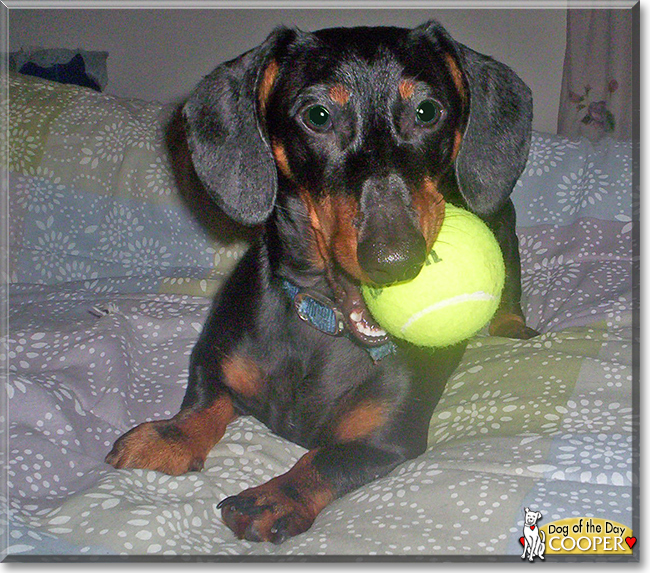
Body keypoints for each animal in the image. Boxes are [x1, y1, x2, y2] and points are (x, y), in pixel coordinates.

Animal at [106, 20, 536, 544]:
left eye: (427, 111)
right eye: (318, 115)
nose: (396, 259)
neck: (321, 318)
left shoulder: (387, 440)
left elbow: (324, 459)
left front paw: (274, 496)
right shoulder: (215, 361)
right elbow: (204, 402)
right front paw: (169, 435)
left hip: (503, 223)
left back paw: (513, 323)